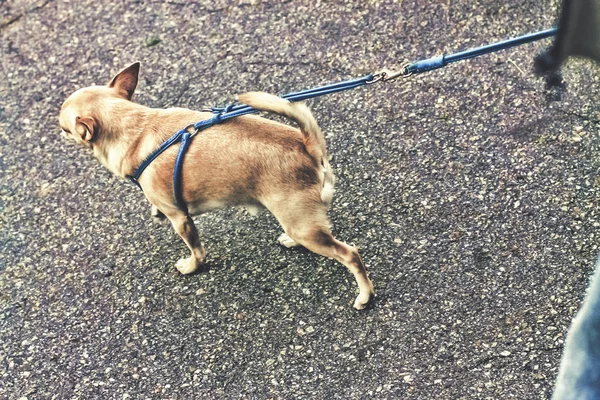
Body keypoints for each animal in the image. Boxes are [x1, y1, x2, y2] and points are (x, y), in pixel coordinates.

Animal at [57, 61, 376, 310]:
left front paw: (191, 267)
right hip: (299, 221)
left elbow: (196, 250)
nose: (56, 130)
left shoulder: (181, 219)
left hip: (305, 225)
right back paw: (290, 240)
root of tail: (306, 144)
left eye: (65, 128)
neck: (136, 126)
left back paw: (365, 295)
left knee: (350, 254)